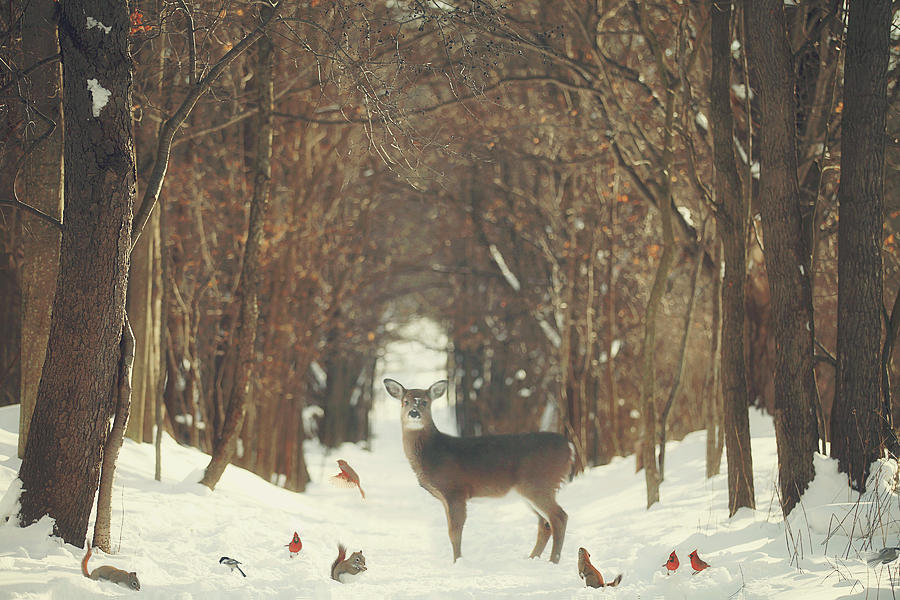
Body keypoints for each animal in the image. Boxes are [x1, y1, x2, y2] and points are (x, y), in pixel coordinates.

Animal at [384, 378, 572, 564]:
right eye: (405, 402)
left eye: (425, 402)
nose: (414, 413)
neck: (432, 453)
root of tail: (569, 448)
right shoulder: (445, 498)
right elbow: (451, 530)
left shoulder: (455, 490)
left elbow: (454, 532)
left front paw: (457, 562)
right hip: (532, 490)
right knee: (545, 523)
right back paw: (532, 558)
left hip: (539, 483)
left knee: (559, 517)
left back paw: (553, 561)